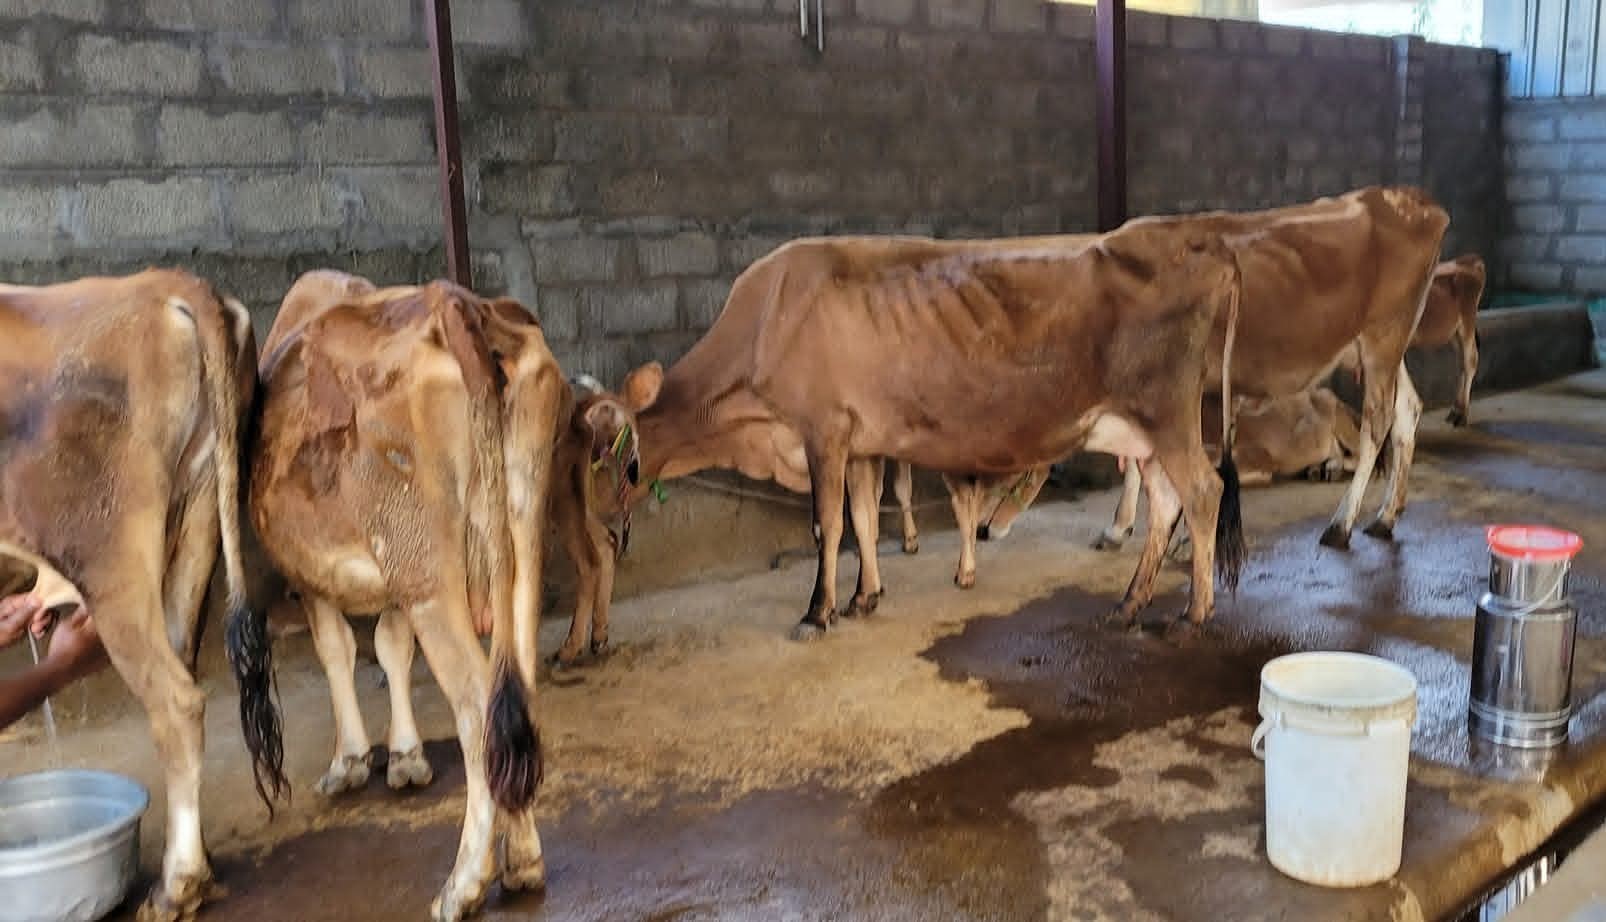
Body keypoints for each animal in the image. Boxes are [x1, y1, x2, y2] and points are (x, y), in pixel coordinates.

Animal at [246, 272, 564, 921]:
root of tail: (453, 302)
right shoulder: (390, 582)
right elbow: (392, 649)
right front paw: (403, 756)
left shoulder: (316, 576)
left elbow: (337, 649)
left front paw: (349, 761)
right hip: (518, 534)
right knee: (516, 693)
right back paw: (522, 862)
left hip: (427, 574)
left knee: (476, 710)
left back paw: (463, 884)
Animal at [624, 224, 1248, 639]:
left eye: (618, 451)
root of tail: (1190, 237)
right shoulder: (861, 442)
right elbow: (863, 517)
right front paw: (865, 596)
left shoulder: (823, 431)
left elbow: (828, 525)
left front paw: (817, 611)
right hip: (1142, 431)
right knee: (1166, 500)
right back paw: (1131, 603)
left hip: (1167, 413)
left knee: (1203, 491)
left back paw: (1194, 611)